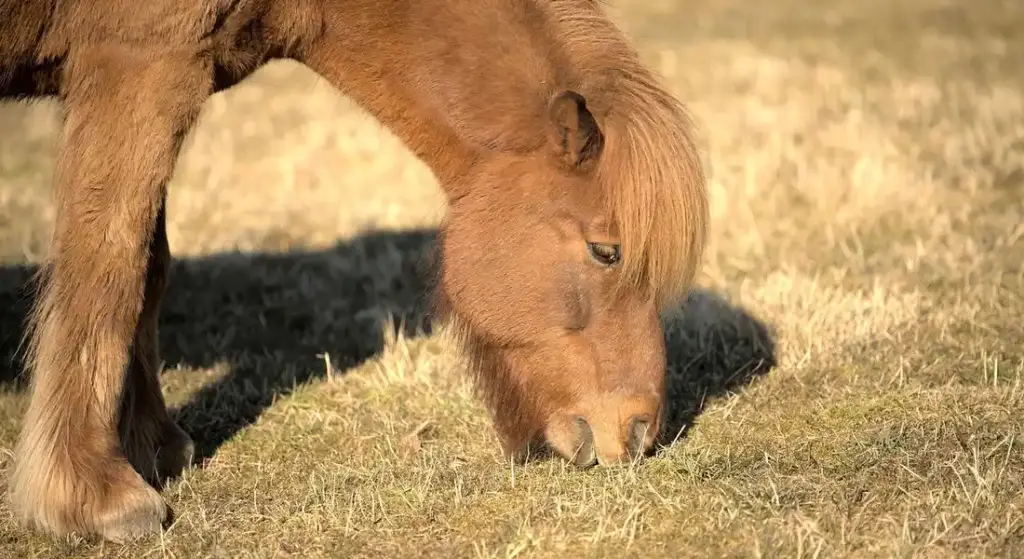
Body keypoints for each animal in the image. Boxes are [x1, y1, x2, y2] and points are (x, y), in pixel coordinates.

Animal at [0, 0, 708, 543]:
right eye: (606, 251)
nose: (642, 433)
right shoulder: (137, 67)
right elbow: (108, 270)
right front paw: (95, 496)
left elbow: (148, 270)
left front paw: (153, 446)